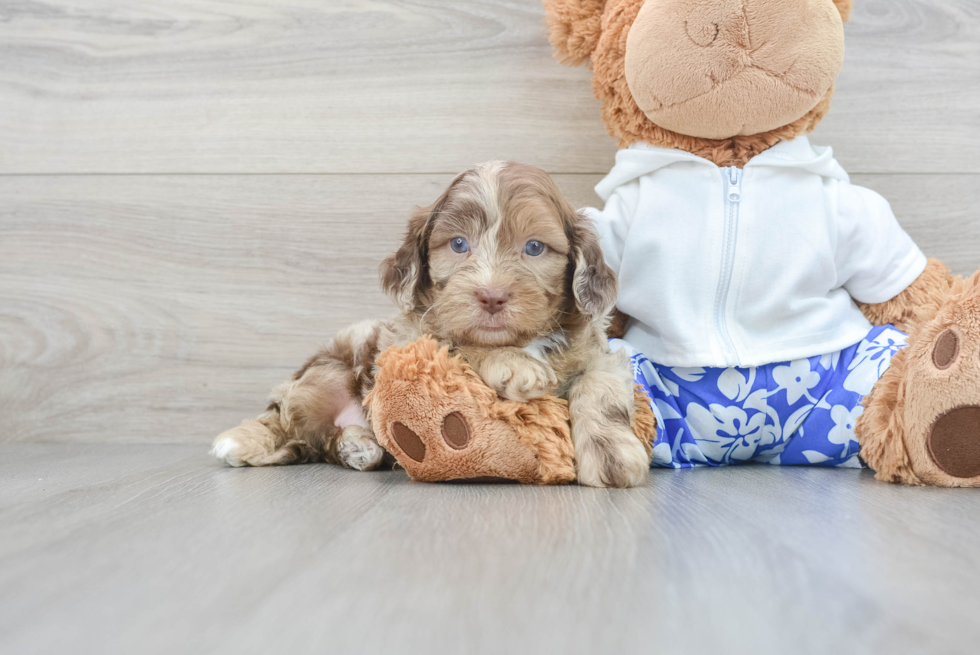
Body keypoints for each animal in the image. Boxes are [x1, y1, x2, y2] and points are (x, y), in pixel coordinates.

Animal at [211, 160, 652, 486]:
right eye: (458, 244)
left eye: (534, 247)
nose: (491, 296)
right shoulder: (408, 342)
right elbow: (457, 342)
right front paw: (514, 364)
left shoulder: (600, 355)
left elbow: (602, 391)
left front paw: (612, 455)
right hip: (326, 373)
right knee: (287, 421)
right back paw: (242, 441)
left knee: (318, 442)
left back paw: (359, 446)